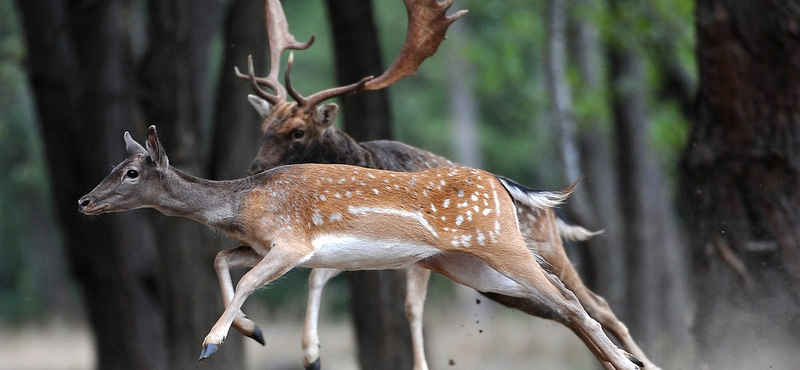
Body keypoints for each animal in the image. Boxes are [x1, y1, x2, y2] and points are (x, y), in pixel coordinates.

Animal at [79, 125, 644, 370]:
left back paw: (627, 363)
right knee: (566, 305)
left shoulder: (291, 243)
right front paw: (253, 331)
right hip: (468, 264)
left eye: (130, 172)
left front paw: (212, 342)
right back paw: (624, 363)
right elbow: (219, 259)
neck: (243, 204)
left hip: (499, 242)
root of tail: (504, 185)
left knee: (575, 302)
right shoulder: (261, 246)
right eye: (113, 165)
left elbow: (245, 279)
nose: (84, 200)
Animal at [234, 0, 660, 370]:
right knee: (565, 309)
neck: (366, 161)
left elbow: (411, 307)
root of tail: (552, 215)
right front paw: (310, 354)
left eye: (298, 132)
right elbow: (320, 274)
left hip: (546, 248)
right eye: (265, 126)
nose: (255, 167)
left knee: (597, 304)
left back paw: (645, 361)